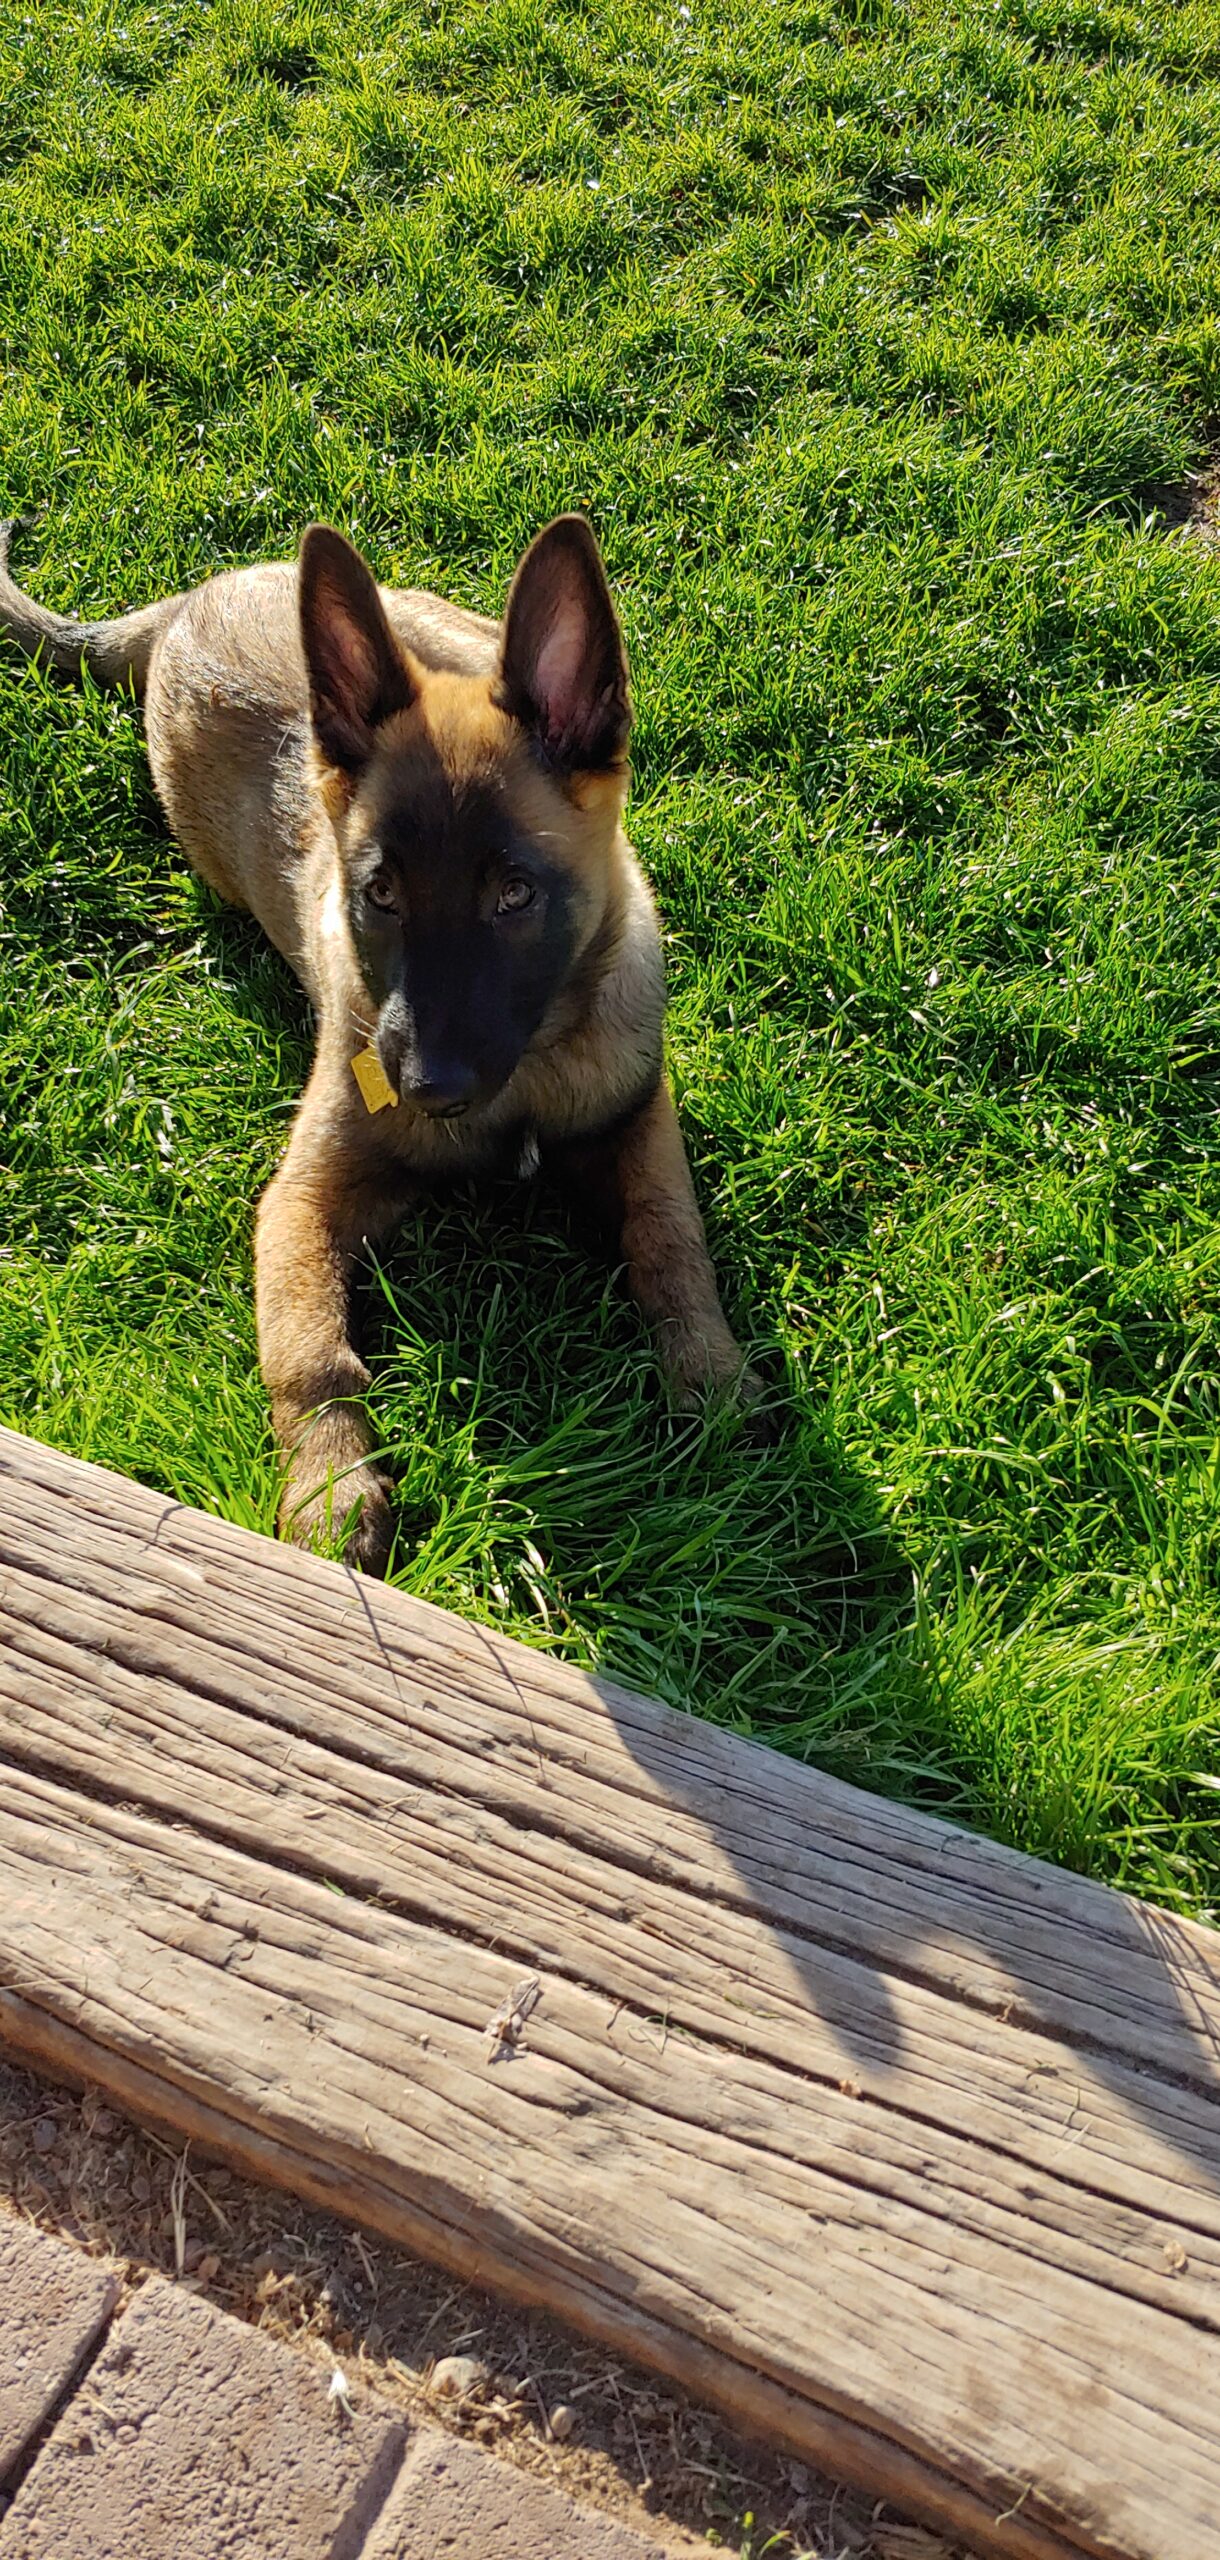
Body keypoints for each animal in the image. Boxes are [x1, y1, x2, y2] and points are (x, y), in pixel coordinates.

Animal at [0, 509, 751, 1566]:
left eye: (514, 894)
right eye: (380, 892)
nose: (424, 1087)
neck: (526, 1076)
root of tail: (194, 598)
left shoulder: (640, 1120)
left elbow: (670, 1241)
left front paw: (711, 1374)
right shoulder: (302, 1201)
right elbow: (312, 1354)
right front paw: (333, 1485)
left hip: (455, 630)